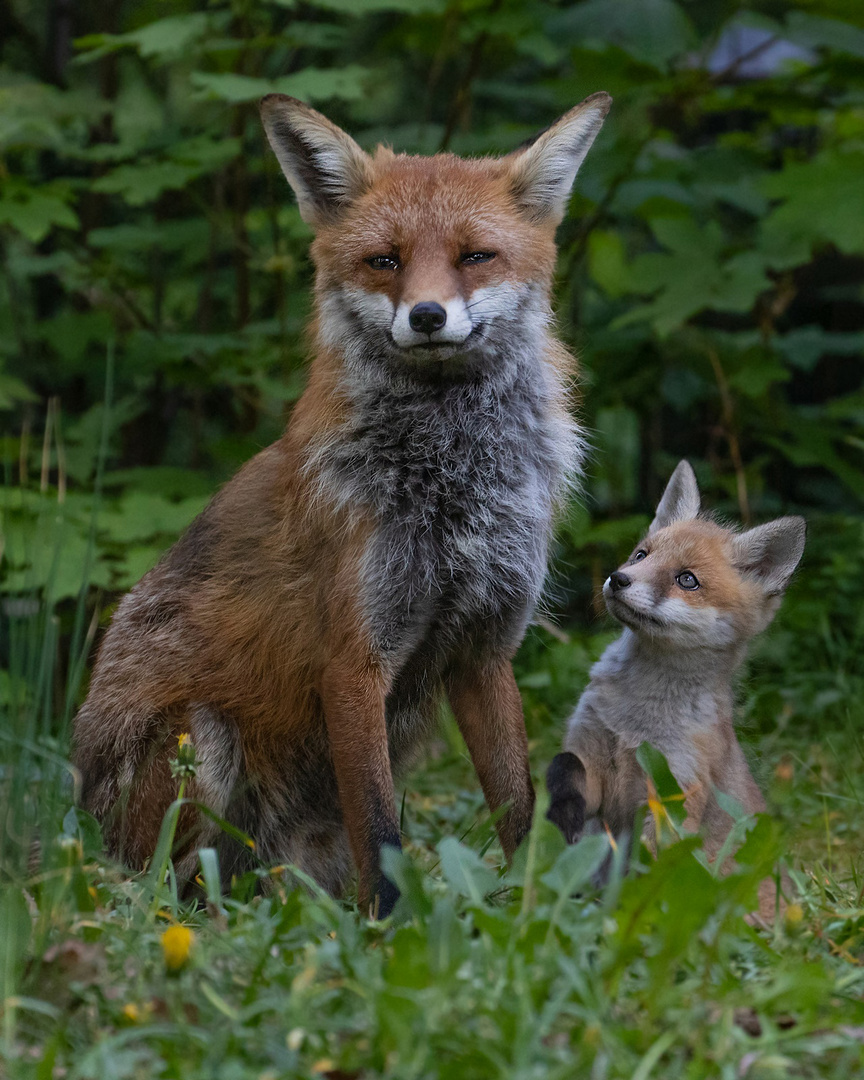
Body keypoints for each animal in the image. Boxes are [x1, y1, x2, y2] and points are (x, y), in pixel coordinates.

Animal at [77, 92, 609, 915]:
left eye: (475, 256)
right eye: (384, 260)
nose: (427, 316)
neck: (453, 483)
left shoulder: (485, 649)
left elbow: (520, 809)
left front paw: (542, 912)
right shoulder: (354, 661)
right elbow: (383, 836)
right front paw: (390, 934)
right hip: (203, 743)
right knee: (164, 893)